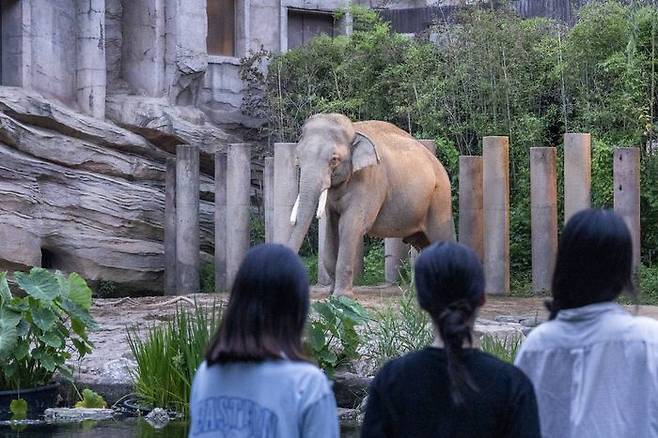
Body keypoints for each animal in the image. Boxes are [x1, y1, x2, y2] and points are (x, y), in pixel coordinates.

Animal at [290, 114, 454, 296]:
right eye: (299, 158)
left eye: (334, 160)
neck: (354, 130)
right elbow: (332, 228)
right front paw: (331, 293)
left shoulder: (369, 180)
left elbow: (350, 225)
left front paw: (341, 296)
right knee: (424, 244)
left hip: (439, 200)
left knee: (442, 237)